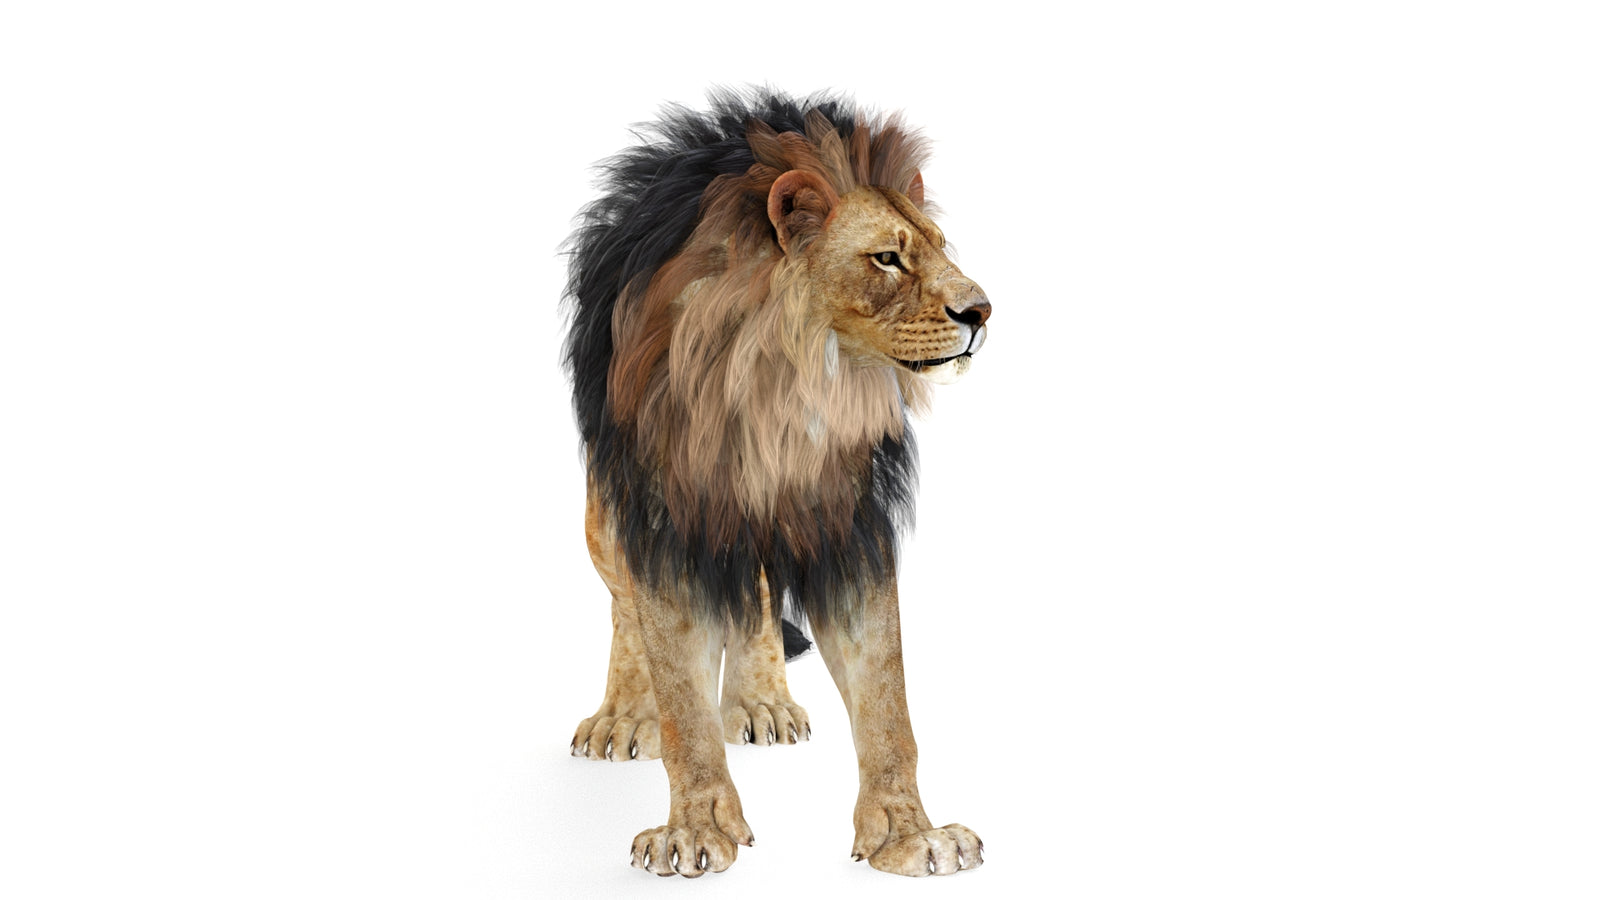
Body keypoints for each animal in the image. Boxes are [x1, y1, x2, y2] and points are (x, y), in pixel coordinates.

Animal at [561, 90, 991, 878]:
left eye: (942, 247)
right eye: (887, 258)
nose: (981, 311)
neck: (789, 389)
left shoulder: (848, 528)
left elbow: (887, 702)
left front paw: (910, 835)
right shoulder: (671, 521)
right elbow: (682, 703)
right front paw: (694, 831)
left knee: (757, 599)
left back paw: (763, 703)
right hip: (606, 517)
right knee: (625, 610)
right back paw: (623, 715)